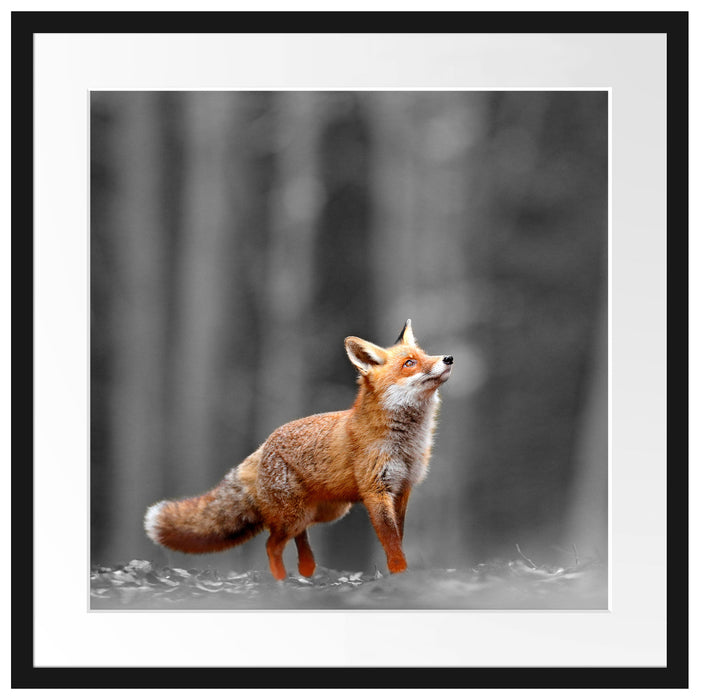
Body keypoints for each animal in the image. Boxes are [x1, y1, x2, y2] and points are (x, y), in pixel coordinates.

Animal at [144, 319, 453, 580]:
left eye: (425, 354)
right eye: (410, 363)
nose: (448, 358)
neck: (406, 443)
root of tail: (264, 445)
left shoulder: (402, 489)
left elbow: (398, 538)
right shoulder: (376, 491)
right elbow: (391, 541)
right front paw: (400, 574)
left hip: (324, 511)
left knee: (299, 538)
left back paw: (307, 571)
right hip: (295, 514)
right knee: (272, 544)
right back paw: (282, 581)